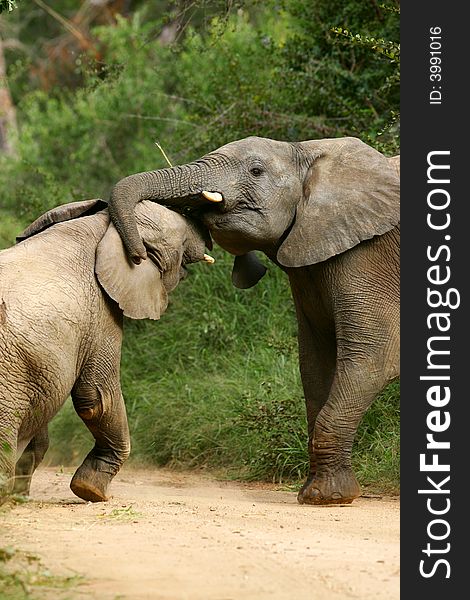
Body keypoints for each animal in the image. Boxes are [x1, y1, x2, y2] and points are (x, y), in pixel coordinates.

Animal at [0, 199, 213, 504]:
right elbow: (98, 397)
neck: (103, 225)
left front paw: (21, 497)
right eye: (183, 241)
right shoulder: (100, 312)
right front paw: (91, 491)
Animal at [106, 134, 400, 504]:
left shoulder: (366, 255)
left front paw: (325, 498)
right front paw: (315, 493)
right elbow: (316, 362)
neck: (308, 152)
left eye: (256, 171)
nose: (138, 255)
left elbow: (371, 358)